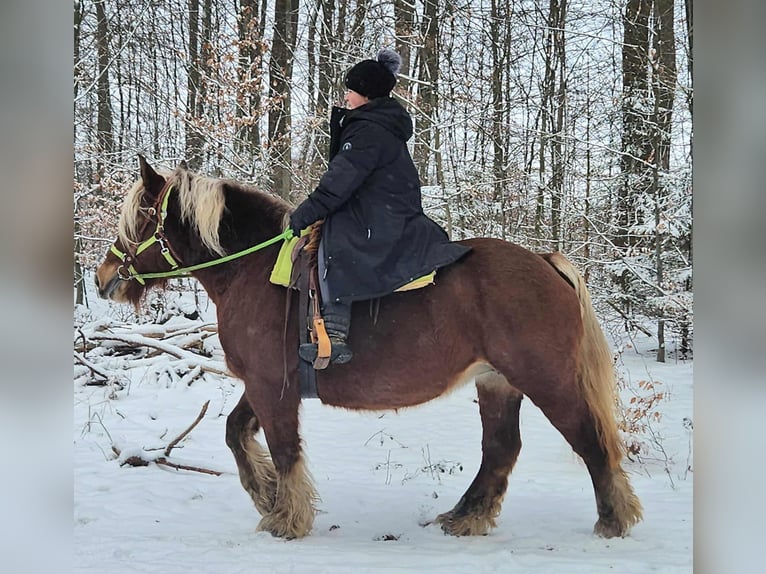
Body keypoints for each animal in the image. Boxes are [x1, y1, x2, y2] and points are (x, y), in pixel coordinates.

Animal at [95, 156, 642, 540]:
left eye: (140, 219)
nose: (103, 277)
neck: (253, 271)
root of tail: (546, 261)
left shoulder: (273, 387)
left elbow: (284, 449)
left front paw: (286, 518)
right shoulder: (265, 384)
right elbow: (236, 434)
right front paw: (268, 496)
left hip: (545, 378)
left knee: (590, 441)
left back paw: (613, 519)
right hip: (496, 382)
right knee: (501, 449)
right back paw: (466, 516)